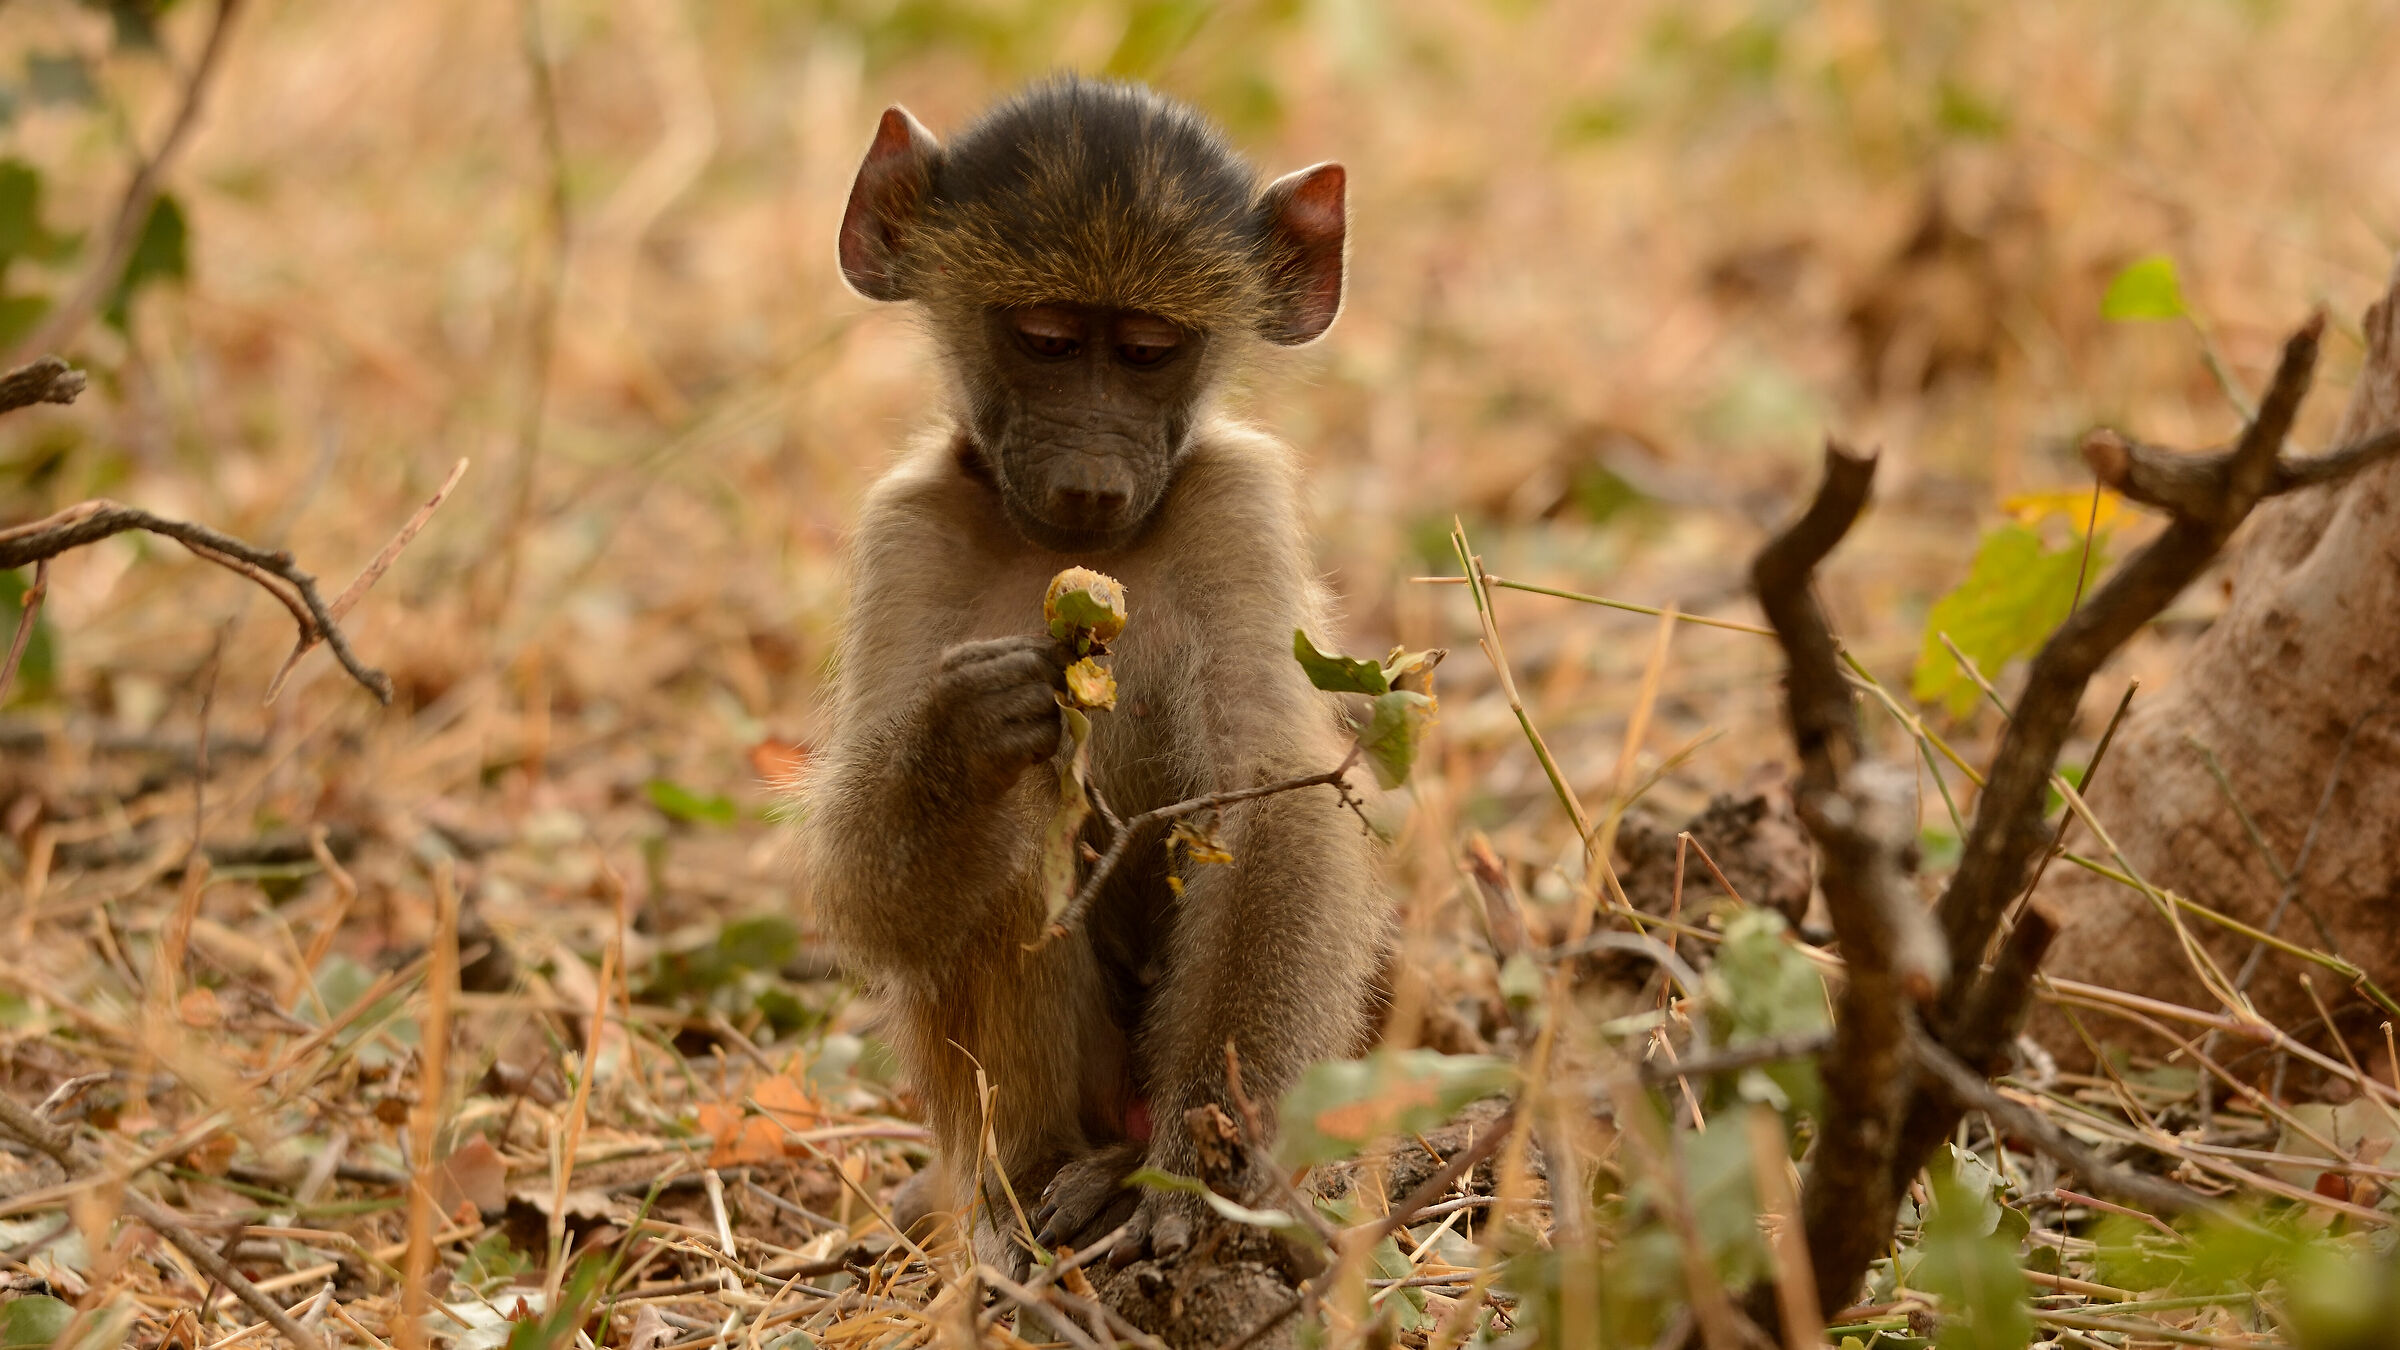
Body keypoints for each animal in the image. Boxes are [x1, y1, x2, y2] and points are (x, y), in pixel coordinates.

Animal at [795, 76, 1385, 1273]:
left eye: (1151, 351)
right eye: (1048, 341)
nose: (1092, 483)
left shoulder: (1237, 504)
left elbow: (1269, 802)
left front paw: (1199, 1168)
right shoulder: (904, 526)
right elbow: (862, 888)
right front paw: (962, 737)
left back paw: (1126, 1171)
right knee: (1023, 841)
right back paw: (1039, 1184)